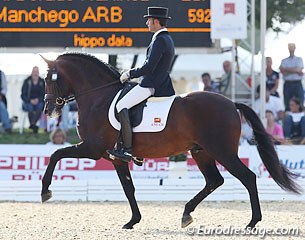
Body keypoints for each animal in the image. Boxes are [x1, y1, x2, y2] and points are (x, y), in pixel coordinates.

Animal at [40, 52, 300, 229]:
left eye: (50, 79)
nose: (48, 110)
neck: (99, 97)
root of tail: (231, 103)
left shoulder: (93, 148)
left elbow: (56, 155)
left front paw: (45, 191)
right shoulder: (116, 157)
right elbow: (128, 188)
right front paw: (133, 221)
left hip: (223, 152)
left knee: (247, 177)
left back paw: (252, 221)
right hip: (201, 152)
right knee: (214, 181)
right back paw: (186, 213)